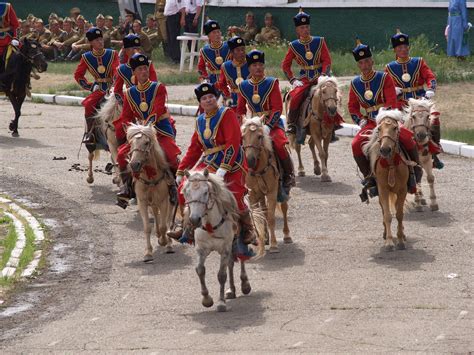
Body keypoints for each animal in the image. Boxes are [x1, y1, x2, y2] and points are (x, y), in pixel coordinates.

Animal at [128, 124, 174, 262]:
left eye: (146, 142)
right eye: (131, 143)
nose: (134, 164)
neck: (150, 177)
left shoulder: (164, 201)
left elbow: (165, 225)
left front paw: (164, 241)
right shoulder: (142, 201)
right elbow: (147, 227)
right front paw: (148, 253)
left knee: (167, 220)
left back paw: (169, 243)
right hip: (153, 202)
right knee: (156, 215)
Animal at [181, 171, 266, 312]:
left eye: (205, 192)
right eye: (186, 192)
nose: (194, 219)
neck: (211, 224)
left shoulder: (225, 248)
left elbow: (221, 275)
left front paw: (221, 302)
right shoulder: (202, 249)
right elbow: (200, 270)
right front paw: (207, 299)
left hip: (237, 241)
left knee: (241, 259)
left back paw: (245, 284)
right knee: (230, 264)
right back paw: (231, 290)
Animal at [243, 118, 290, 254]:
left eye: (259, 136)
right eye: (243, 137)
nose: (250, 161)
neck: (259, 168)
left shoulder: (272, 193)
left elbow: (271, 218)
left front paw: (274, 245)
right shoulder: (252, 194)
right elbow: (257, 215)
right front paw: (260, 240)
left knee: (284, 208)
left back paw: (287, 235)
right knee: (263, 210)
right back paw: (265, 237)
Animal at [364, 110, 412, 252]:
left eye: (395, 128)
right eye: (379, 129)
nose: (385, 149)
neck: (391, 164)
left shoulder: (402, 190)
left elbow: (399, 214)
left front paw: (400, 240)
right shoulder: (383, 190)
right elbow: (387, 215)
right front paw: (389, 242)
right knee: (384, 210)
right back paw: (386, 233)